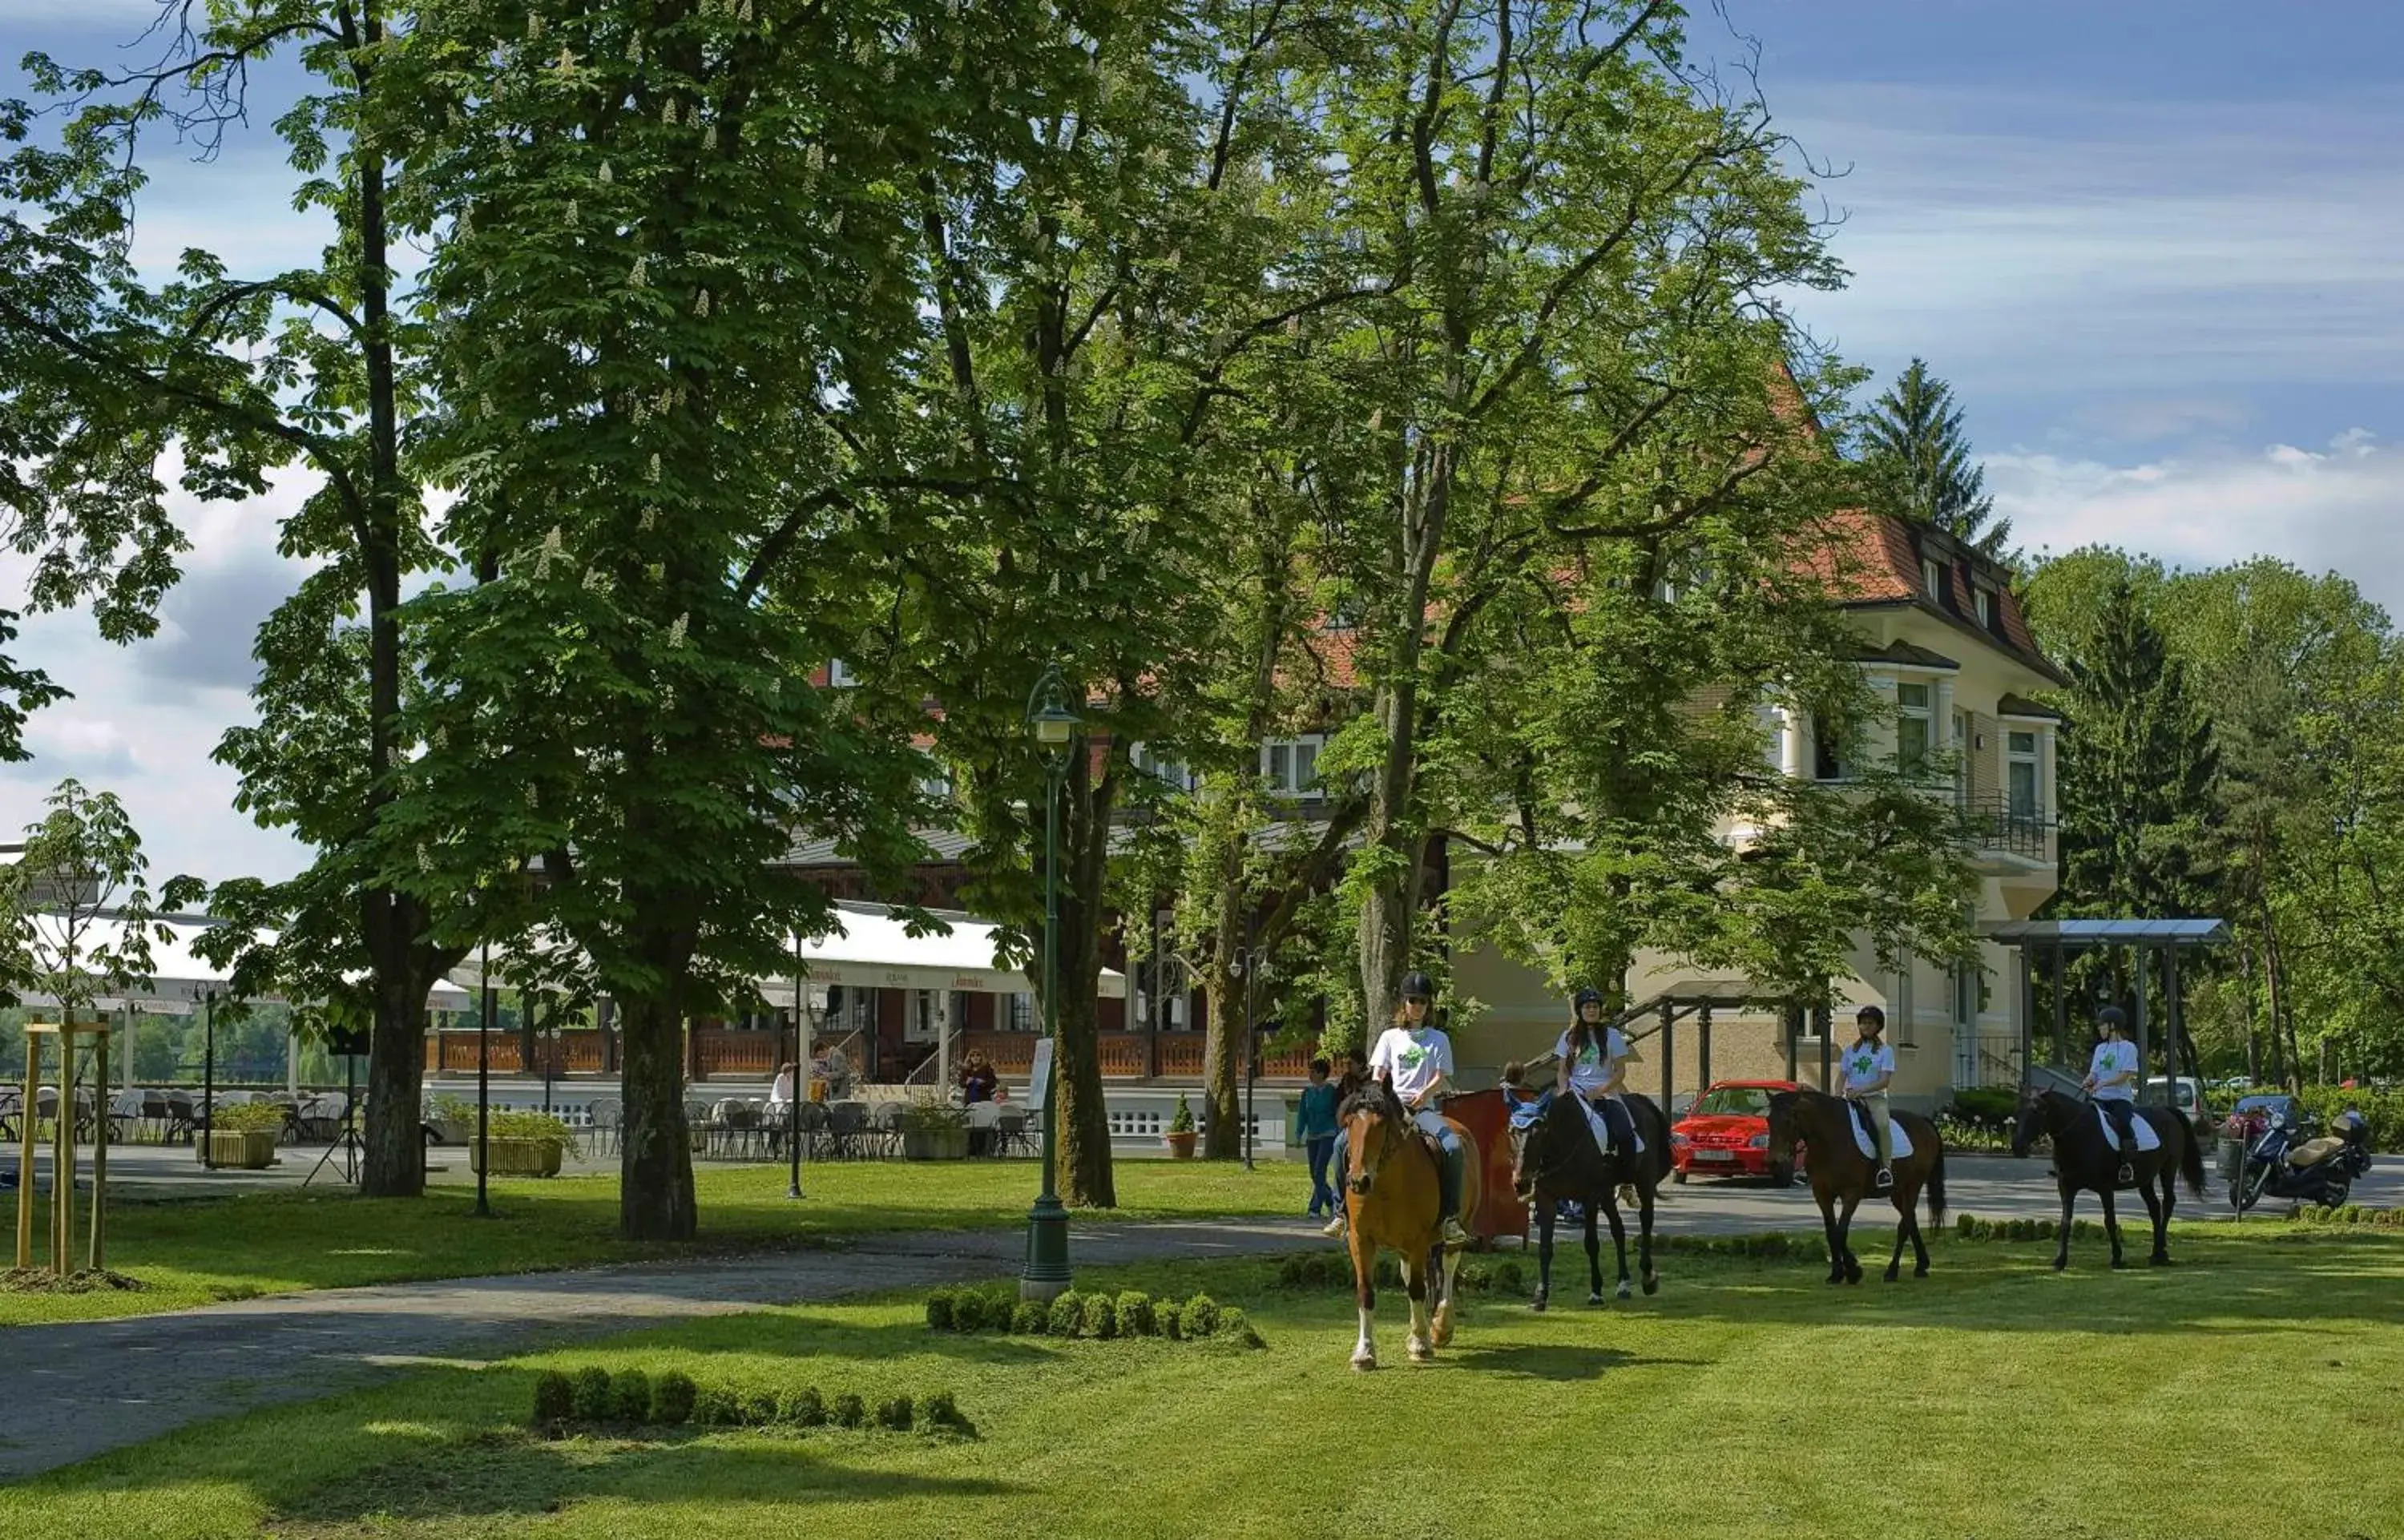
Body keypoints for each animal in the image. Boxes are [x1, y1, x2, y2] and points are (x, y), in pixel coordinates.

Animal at [1337, 1076, 1481, 1365]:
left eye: (1381, 1124)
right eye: (1349, 1123)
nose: (1358, 1181)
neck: (1385, 1186)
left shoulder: (1418, 1241)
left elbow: (1417, 1289)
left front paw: (1422, 1344)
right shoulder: (1360, 1239)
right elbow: (1366, 1291)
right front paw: (1365, 1352)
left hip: (1457, 1230)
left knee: (1448, 1268)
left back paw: (1441, 1328)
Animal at [1500, 1086, 1673, 1307]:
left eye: (1539, 1132)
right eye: (1512, 1132)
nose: (1521, 1182)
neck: (1563, 1142)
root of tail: (1641, 1103)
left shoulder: (1589, 1197)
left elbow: (1591, 1243)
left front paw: (1596, 1292)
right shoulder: (1546, 1199)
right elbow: (1545, 1247)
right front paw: (1541, 1295)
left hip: (1643, 1181)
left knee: (1646, 1220)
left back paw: (1648, 1276)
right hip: (1606, 1191)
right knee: (1618, 1230)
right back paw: (1623, 1284)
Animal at [1769, 1095, 1952, 1288]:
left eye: (1788, 1121)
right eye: (1768, 1120)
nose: (1774, 1162)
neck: (1829, 1140)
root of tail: (1923, 1121)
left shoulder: (1851, 1194)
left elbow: (1840, 1232)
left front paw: (1853, 1272)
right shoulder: (1822, 1194)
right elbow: (1831, 1232)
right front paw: (1837, 1274)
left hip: (1913, 1186)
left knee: (1904, 1226)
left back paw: (1892, 1271)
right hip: (1898, 1191)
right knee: (1911, 1221)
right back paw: (1921, 1266)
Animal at [2019, 1076, 2202, 1268]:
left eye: (2038, 1111)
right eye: (2019, 1110)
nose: (2018, 1146)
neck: (2079, 1134)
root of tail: (2167, 1111)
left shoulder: (2105, 1188)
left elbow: (2110, 1220)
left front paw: (2117, 1258)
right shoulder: (2066, 1187)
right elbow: (2065, 1222)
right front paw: (2060, 1260)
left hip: (2168, 1168)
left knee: (2168, 1202)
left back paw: (2160, 1251)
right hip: (2145, 1178)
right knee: (2154, 1207)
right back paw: (2156, 1253)